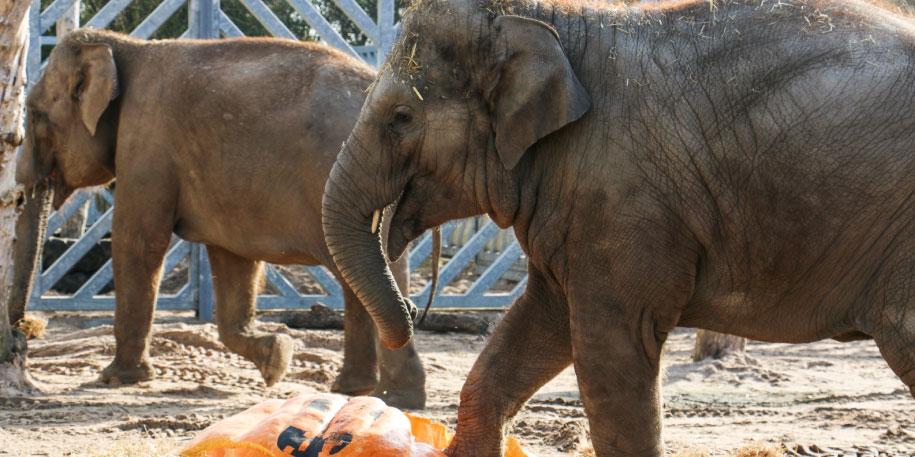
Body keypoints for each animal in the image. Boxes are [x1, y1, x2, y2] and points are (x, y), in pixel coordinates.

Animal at [11, 30, 426, 408]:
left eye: (34, 113)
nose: (24, 330)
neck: (125, 46)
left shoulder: (146, 142)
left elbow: (138, 241)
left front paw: (115, 379)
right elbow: (233, 261)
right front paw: (277, 357)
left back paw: (396, 398)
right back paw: (352, 390)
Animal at [324, 0, 915, 450]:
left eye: (401, 117)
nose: (410, 314)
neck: (552, 20)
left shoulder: (620, 202)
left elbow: (610, 355)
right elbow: (531, 334)